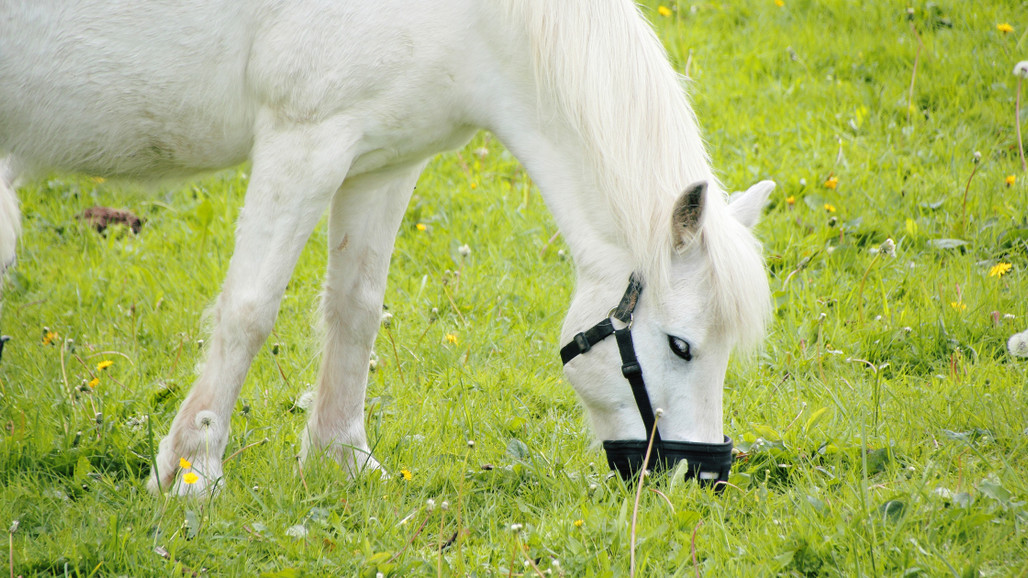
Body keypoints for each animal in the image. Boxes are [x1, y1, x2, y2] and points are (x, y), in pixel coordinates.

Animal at [0, 1, 773, 495]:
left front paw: (342, 459)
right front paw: (191, 473)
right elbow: (249, 311)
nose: (704, 477)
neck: (472, 20)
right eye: (681, 346)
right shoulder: (304, 142)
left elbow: (356, 309)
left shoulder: (383, 164)